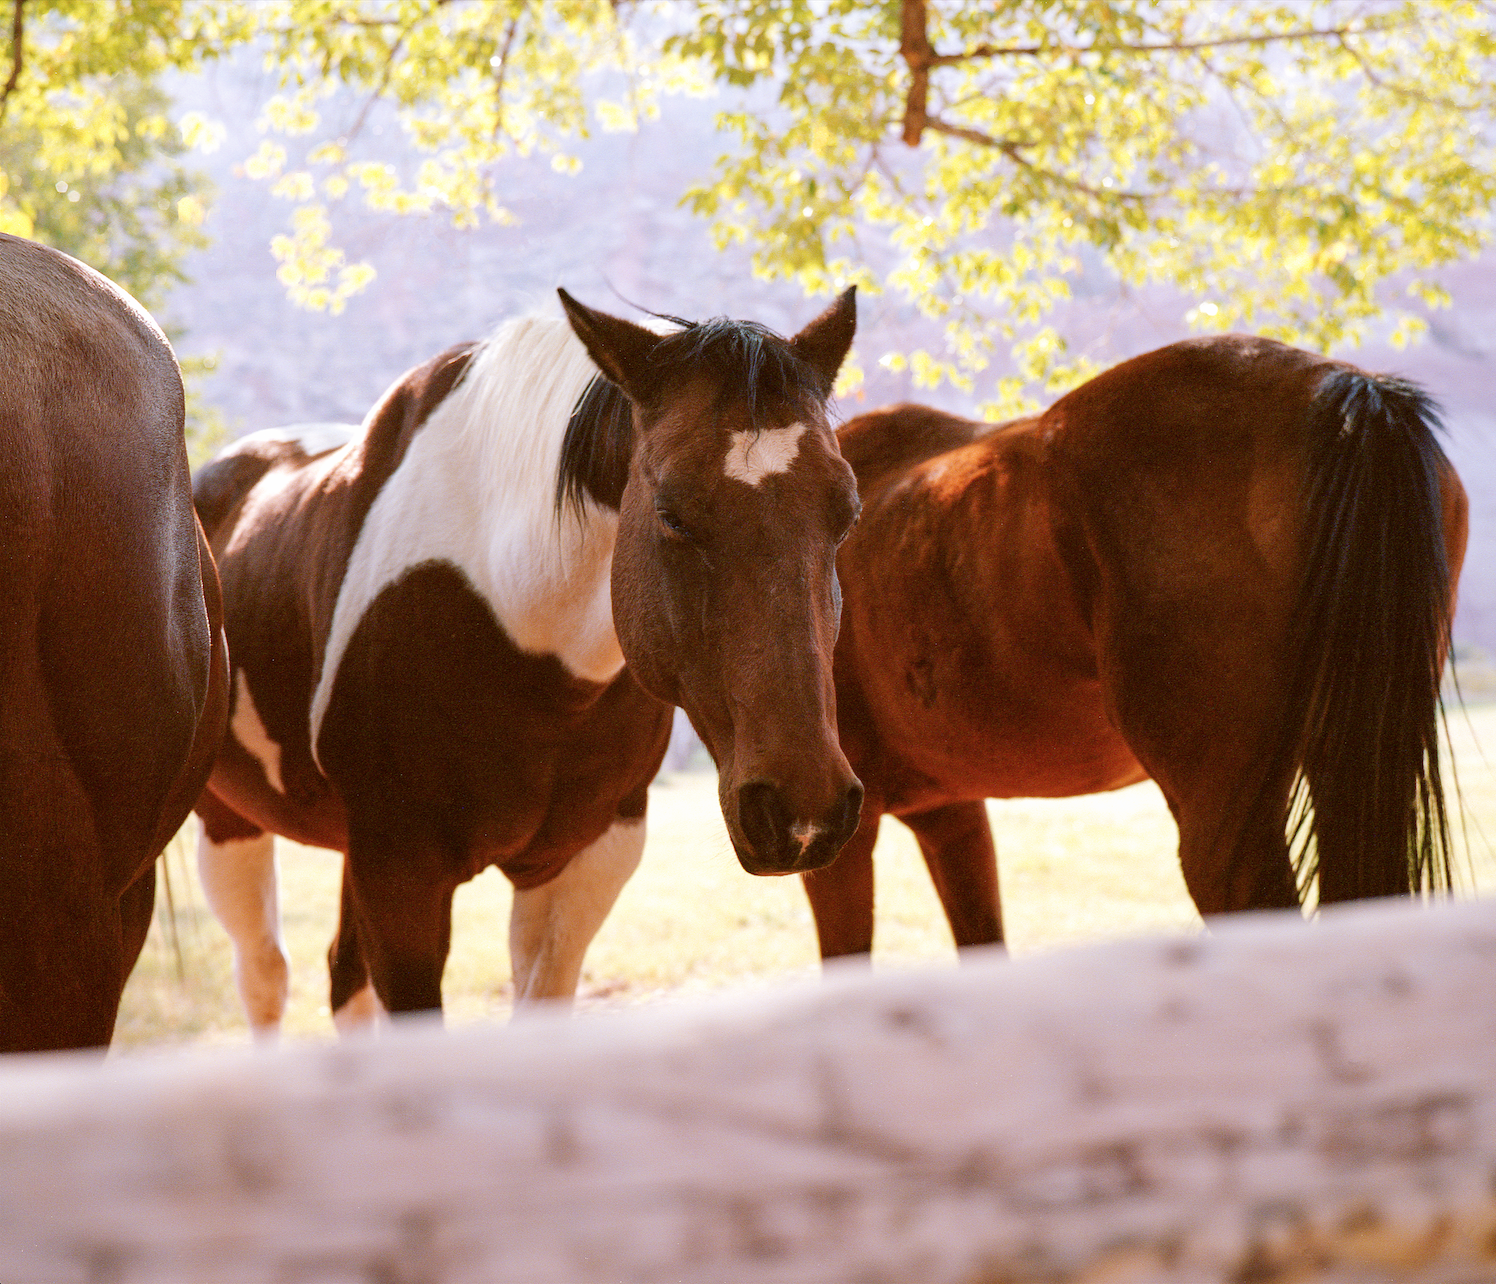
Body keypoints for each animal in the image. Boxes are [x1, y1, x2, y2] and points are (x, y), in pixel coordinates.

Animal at [192, 289, 864, 1036]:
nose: (804, 810)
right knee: (264, 978)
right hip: (231, 823)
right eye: (672, 515)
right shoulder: (400, 876)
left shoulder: (581, 864)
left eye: (846, 512)